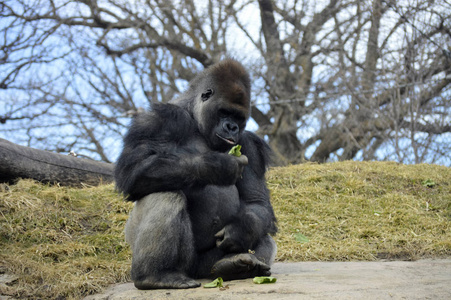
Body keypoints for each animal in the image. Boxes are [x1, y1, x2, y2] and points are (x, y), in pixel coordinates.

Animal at [115, 57, 278, 290]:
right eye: (224, 112)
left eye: (238, 117)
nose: (232, 127)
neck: (196, 119)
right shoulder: (160, 119)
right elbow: (132, 170)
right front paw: (217, 166)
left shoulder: (249, 145)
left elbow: (256, 203)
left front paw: (241, 229)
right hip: (178, 262)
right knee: (165, 194)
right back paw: (154, 275)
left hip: (205, 266)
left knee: (261, 234)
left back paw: (232, 266)